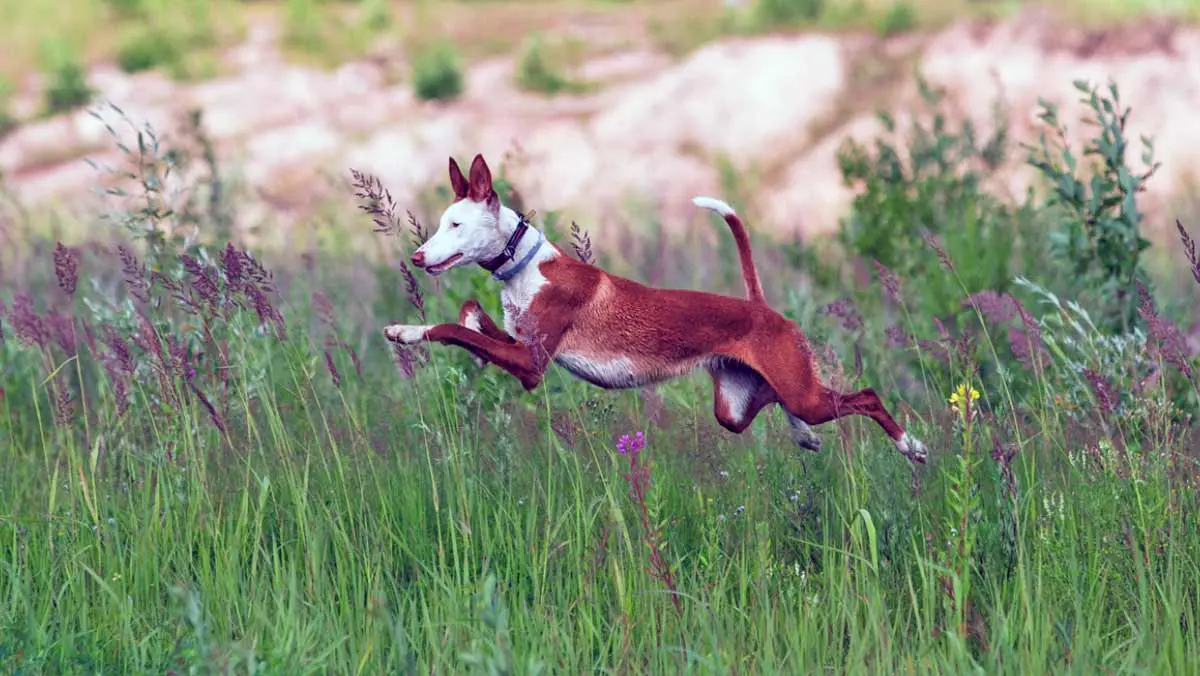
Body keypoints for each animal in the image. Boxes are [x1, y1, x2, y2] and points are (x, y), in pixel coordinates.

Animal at [384, 153, 926, 465]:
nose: (418, 257)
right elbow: (472, 316)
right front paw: (466, 317)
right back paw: (804, 437)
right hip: (734, 406)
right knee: (777, 403)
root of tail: (761, 308)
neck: (527, 266)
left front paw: (406, 331)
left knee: (866, 397)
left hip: (800, 390)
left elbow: (453, 328)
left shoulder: (531, 366)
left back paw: (910, 446)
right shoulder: (522, 350)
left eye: (455, 224)